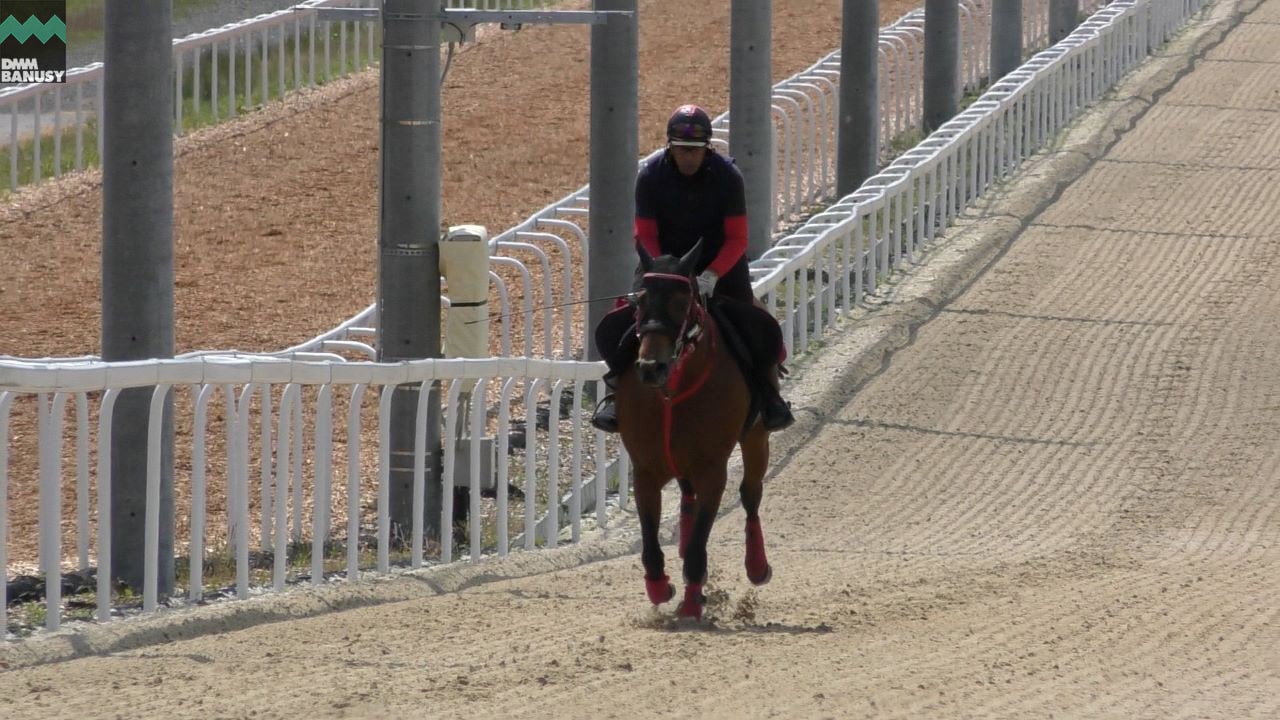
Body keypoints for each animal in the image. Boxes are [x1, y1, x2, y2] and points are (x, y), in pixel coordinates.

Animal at [614, 239, 773, 617]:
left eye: (682, 301)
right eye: (638, 300)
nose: (651, 367)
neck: (672, 393)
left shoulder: (713, 471)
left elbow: (701, 545)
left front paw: (689, 605)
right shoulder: (645, 470)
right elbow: (650, 545)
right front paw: (661, 588)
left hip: (757, 435)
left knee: (750, 492)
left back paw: (757, 566)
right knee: (688, 497)